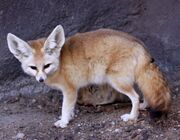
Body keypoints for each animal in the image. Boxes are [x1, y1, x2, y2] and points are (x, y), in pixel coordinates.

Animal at [6, 24, 170, 127]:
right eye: (33, 68)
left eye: (46, 66)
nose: (41, 80)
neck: (59, 63)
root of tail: (138, 42)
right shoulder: (72, 91)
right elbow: (71, 107)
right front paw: (70, 117)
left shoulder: (70, 90)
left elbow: (65, 107)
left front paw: (64, 122)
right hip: (133, 79)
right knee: (144, 93)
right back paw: (144, 106)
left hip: (117, 81)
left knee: (135, 96)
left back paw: (132, 116)